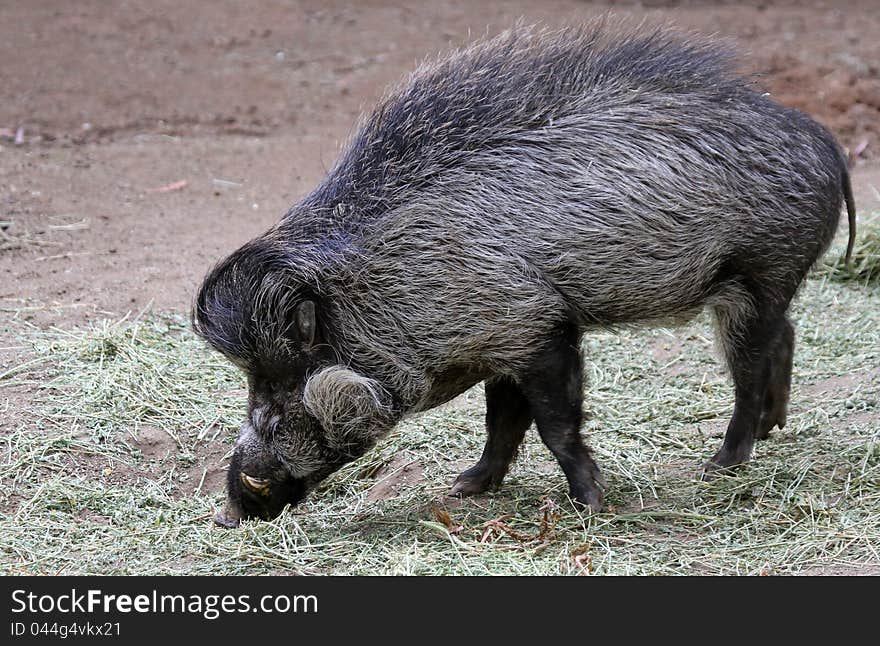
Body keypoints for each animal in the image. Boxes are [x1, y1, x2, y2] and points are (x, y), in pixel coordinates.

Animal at [191, 21, 852, 528]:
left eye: (279, 399)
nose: (228, 513)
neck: (386, 284)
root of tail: (823, 140)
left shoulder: (538, 331)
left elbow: (554, 425)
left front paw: (592, 506)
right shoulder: (500, 342)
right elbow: (502, 423)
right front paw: (465, 487)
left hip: (762, 274)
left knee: (750, 367)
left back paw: (723, 465)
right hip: (750, 289)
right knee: (785, 337)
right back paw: (771, 431)